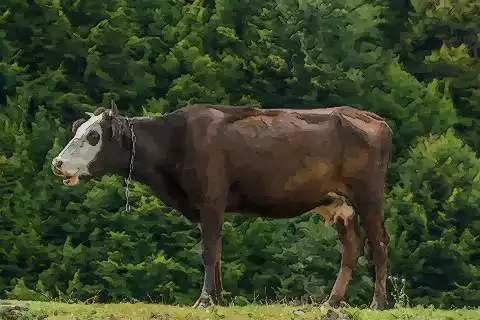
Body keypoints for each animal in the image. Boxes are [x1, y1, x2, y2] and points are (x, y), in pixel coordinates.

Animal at [50, 102, 392, 310]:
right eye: (77, 130)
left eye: (93, 136)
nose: (57, 163)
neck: (175, 142)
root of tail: (375, 119)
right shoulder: (207, 208)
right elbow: (215, 251)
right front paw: (217, 298)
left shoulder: (211, 200)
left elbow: (208, 250)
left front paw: (204, 300)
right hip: (339, 203)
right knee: (352, 246)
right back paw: (331, 302)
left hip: (368, 195)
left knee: (378, 243)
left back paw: (377, 303)